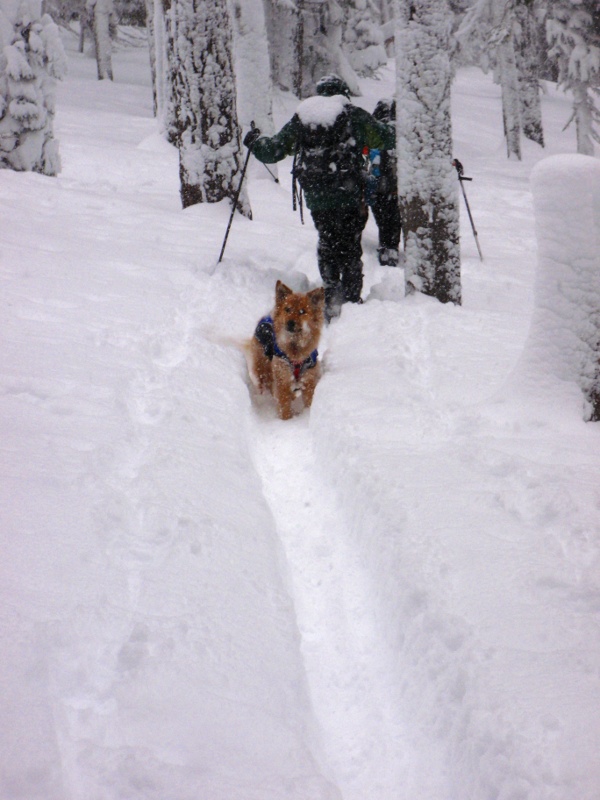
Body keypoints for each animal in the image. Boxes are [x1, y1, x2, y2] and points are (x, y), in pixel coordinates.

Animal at [247, 280, 326, 418]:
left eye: (302, 311)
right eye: (287, 309)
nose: (290, 322)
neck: (295, 350)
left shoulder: (309, 379)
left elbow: (309, 401)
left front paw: (308, 414)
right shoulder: (282, 378)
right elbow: (284, 405)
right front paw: (287, 419)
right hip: (262, 366)